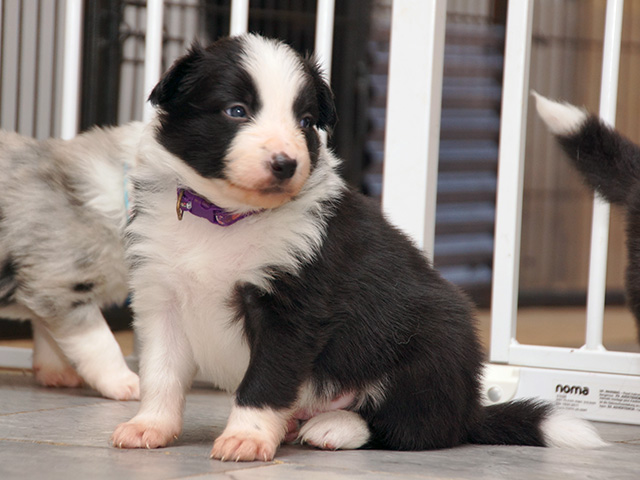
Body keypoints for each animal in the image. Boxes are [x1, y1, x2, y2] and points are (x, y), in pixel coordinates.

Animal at [111, 35, 604, 461]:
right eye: (236, 110)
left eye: (305, 122)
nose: (286, 163)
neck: (225, 218)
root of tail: (470, 409)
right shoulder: (162, 297)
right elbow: (161, 372)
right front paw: (149, 426)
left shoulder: (291, 309)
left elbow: (266, 381)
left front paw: (246, 438)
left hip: (434, 347)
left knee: (413, 427)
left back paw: (334, 426)